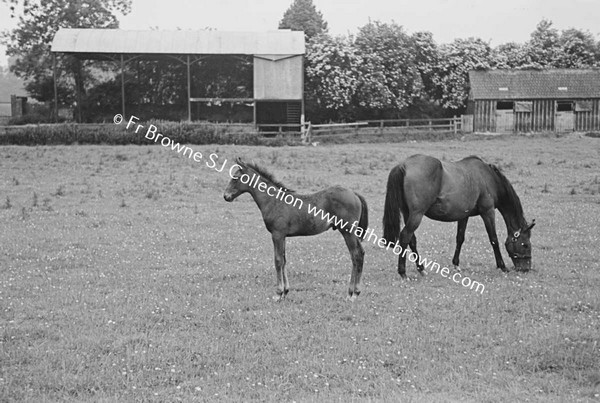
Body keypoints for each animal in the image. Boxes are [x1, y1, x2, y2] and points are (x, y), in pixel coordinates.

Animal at [223, 158, 368, 300]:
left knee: (356, 255)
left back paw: (353, 293)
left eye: (235, 177)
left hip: (347, 232)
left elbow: (278, 260)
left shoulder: (277, 235)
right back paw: (353, 292)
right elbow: (284, 260)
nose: (226, 196)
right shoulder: (283, 236)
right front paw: (285, 291)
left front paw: (278, 293)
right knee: (359, 254)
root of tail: (354, 193)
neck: (273, 201)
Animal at [382, 155, 536, 278]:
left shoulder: (464, 215)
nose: (526, 269)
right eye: (525, 245)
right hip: (416, 215)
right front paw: (502, 266)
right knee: (405, 237)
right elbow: (494, 239)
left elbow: (460, 238)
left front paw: (456, 264)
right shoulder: (488, 212)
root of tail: (403, 165)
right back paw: (403, 273)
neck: (488, 178)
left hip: (408, 213)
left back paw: (421, 268)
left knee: (412, 240)